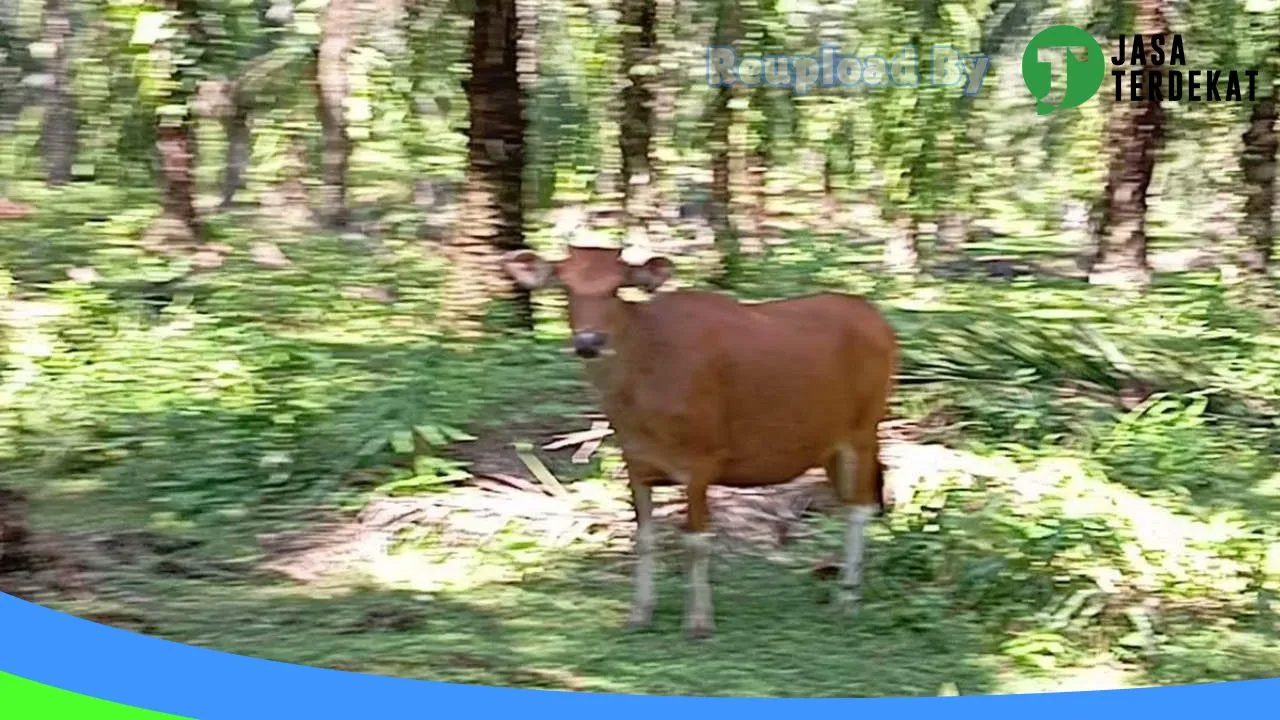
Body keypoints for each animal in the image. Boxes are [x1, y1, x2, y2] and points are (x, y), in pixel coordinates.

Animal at [504, 243, 896, 635]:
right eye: (565, 287)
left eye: (616, 287)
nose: (589, 342)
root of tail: (880, 323)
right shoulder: (636, 463)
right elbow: (644, 539)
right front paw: (639, 613)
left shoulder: (701, 460)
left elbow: (696, 541)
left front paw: (698, 622)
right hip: (830, 445)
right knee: (851, 502)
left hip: (864, 430)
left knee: (861, 507)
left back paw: (848, 599)